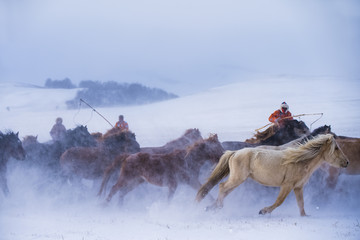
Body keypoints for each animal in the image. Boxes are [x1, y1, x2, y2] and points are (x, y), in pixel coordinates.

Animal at [197, 134, 348, 217]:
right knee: (222, 187)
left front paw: (305, 216)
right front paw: (263, 211)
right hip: (237, 178)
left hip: (237, 180)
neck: (300, 161)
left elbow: (301, 203)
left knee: (224, 190)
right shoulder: (287, 185)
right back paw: (217, 207)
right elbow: (279, 201)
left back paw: (211, 207)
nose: (346, 162)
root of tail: (234, 153)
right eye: (336, 148)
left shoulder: (298, 187)